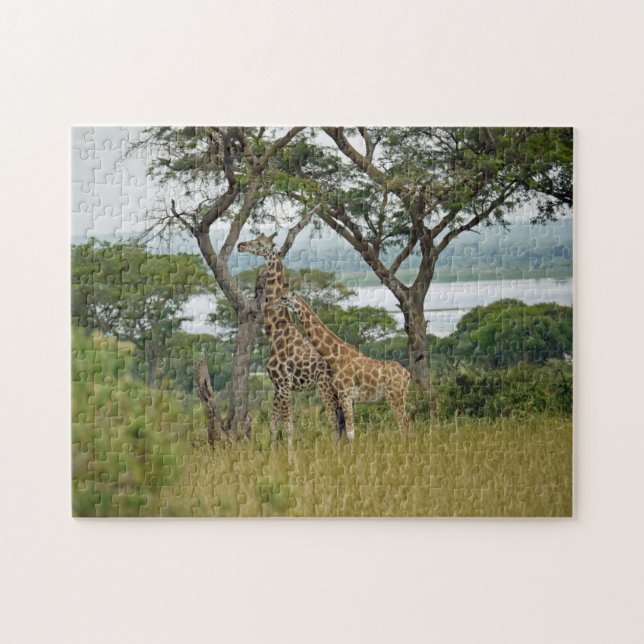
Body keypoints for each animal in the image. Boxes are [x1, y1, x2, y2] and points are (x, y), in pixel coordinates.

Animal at [236, 233, 344, 443]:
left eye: (260, 243)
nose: (240, 245)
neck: (276, 332)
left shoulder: (284, 383)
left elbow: (288, 427)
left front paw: (290, 451)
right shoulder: (277, 385)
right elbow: (272, 425)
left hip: (325, 387)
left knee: (335, 423)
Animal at [274, 291, 411, 439]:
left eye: (284, 298)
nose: (273, 304)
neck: (334, 356)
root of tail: (407, 374)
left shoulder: (345, 394)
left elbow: (350, 433)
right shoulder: (348, 397)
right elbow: (346, 431)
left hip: (394, 396)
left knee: (404, 425)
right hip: (401, 396)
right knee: (406, 424)